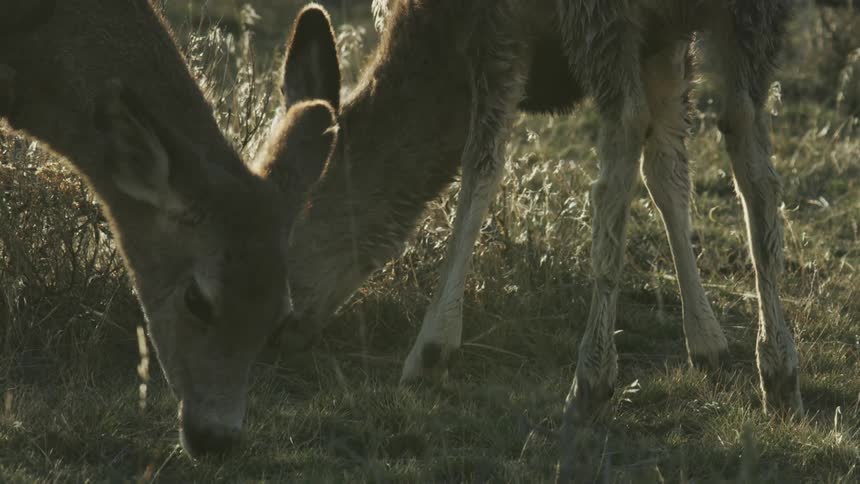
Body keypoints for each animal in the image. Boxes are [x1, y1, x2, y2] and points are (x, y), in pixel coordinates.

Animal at [268, 0, 803, 427]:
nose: (277, 329)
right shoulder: (667, 37)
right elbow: (668, 173)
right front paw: (708, 340)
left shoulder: (497, 29)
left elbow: (482, 166)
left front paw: (433, 347)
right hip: (753, 17)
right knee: (748, 140)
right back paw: (778, 367)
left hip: (599, 17)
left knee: (625, 138)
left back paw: (592, 376)